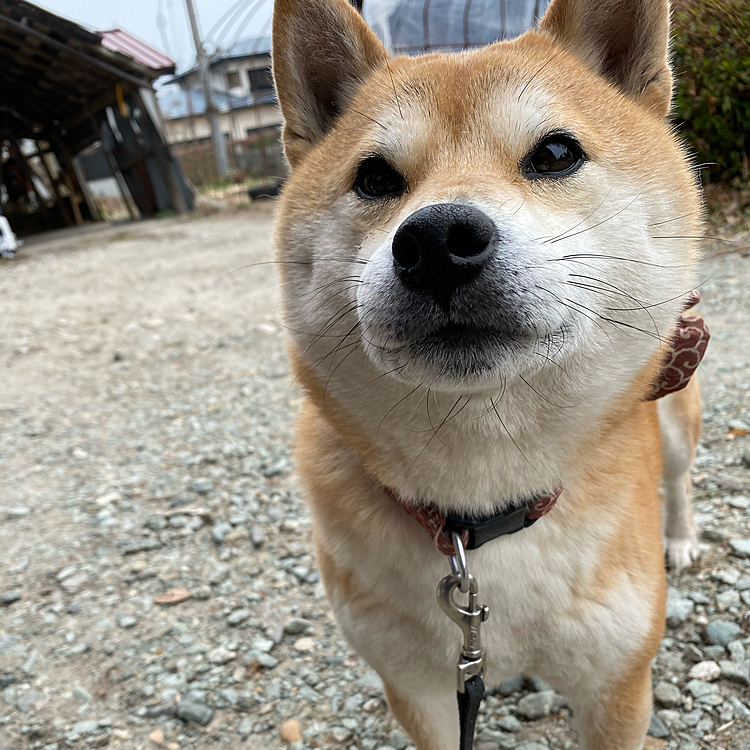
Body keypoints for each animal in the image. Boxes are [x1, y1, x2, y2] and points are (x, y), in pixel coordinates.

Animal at [274, 2, 708, 748]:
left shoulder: (617, 685)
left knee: (678, 478)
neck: (482, 512)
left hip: (676, 410)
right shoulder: (419, 689)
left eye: (555, 154)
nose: (437, 242)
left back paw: (678, 538)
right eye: (375, 178)